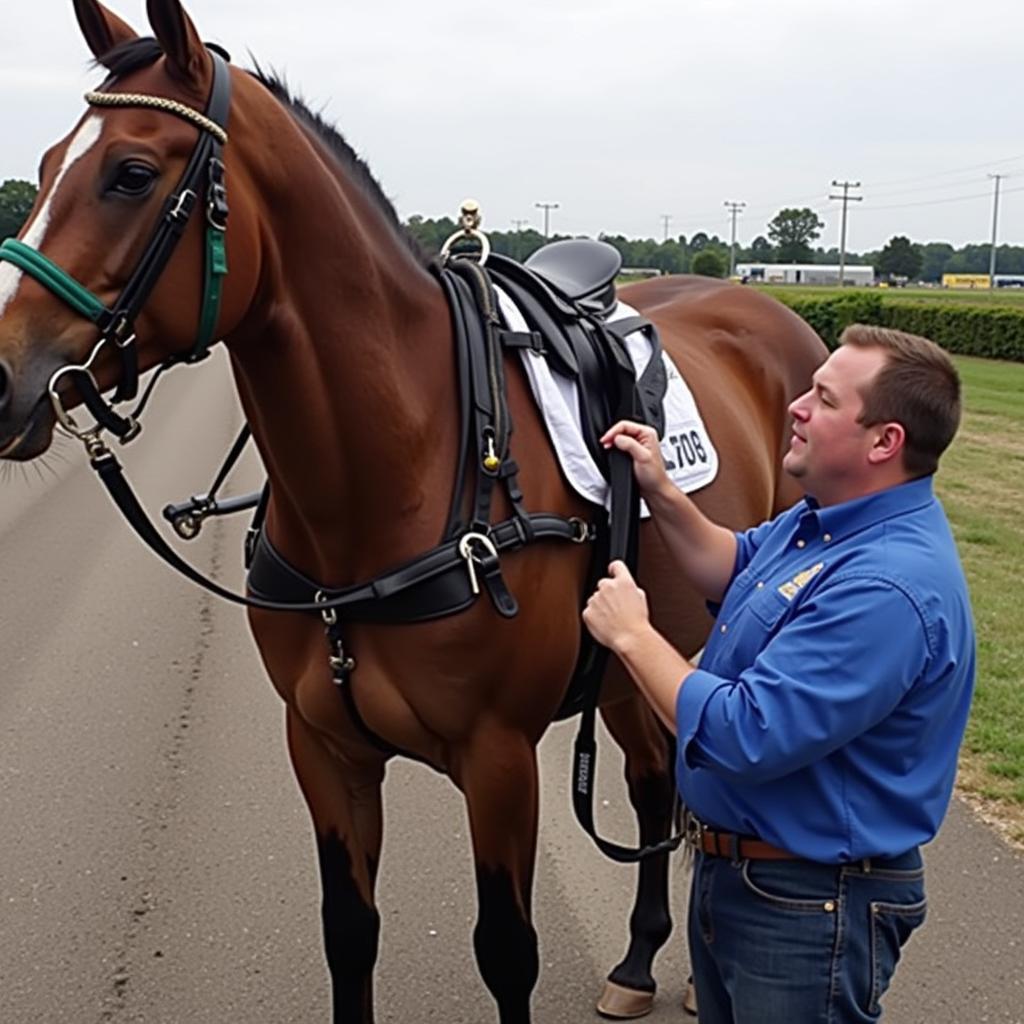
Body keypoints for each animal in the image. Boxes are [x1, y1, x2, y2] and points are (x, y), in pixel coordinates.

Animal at [0, 4, 823, 1019]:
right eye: (41, 168)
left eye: (131, 174)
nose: (1, 375)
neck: (391, 477)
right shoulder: (324, 748)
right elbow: (349, 934)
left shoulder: (499, 760)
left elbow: (507, 951)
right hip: (633, 663)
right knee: (649, 776)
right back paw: (636, 960)